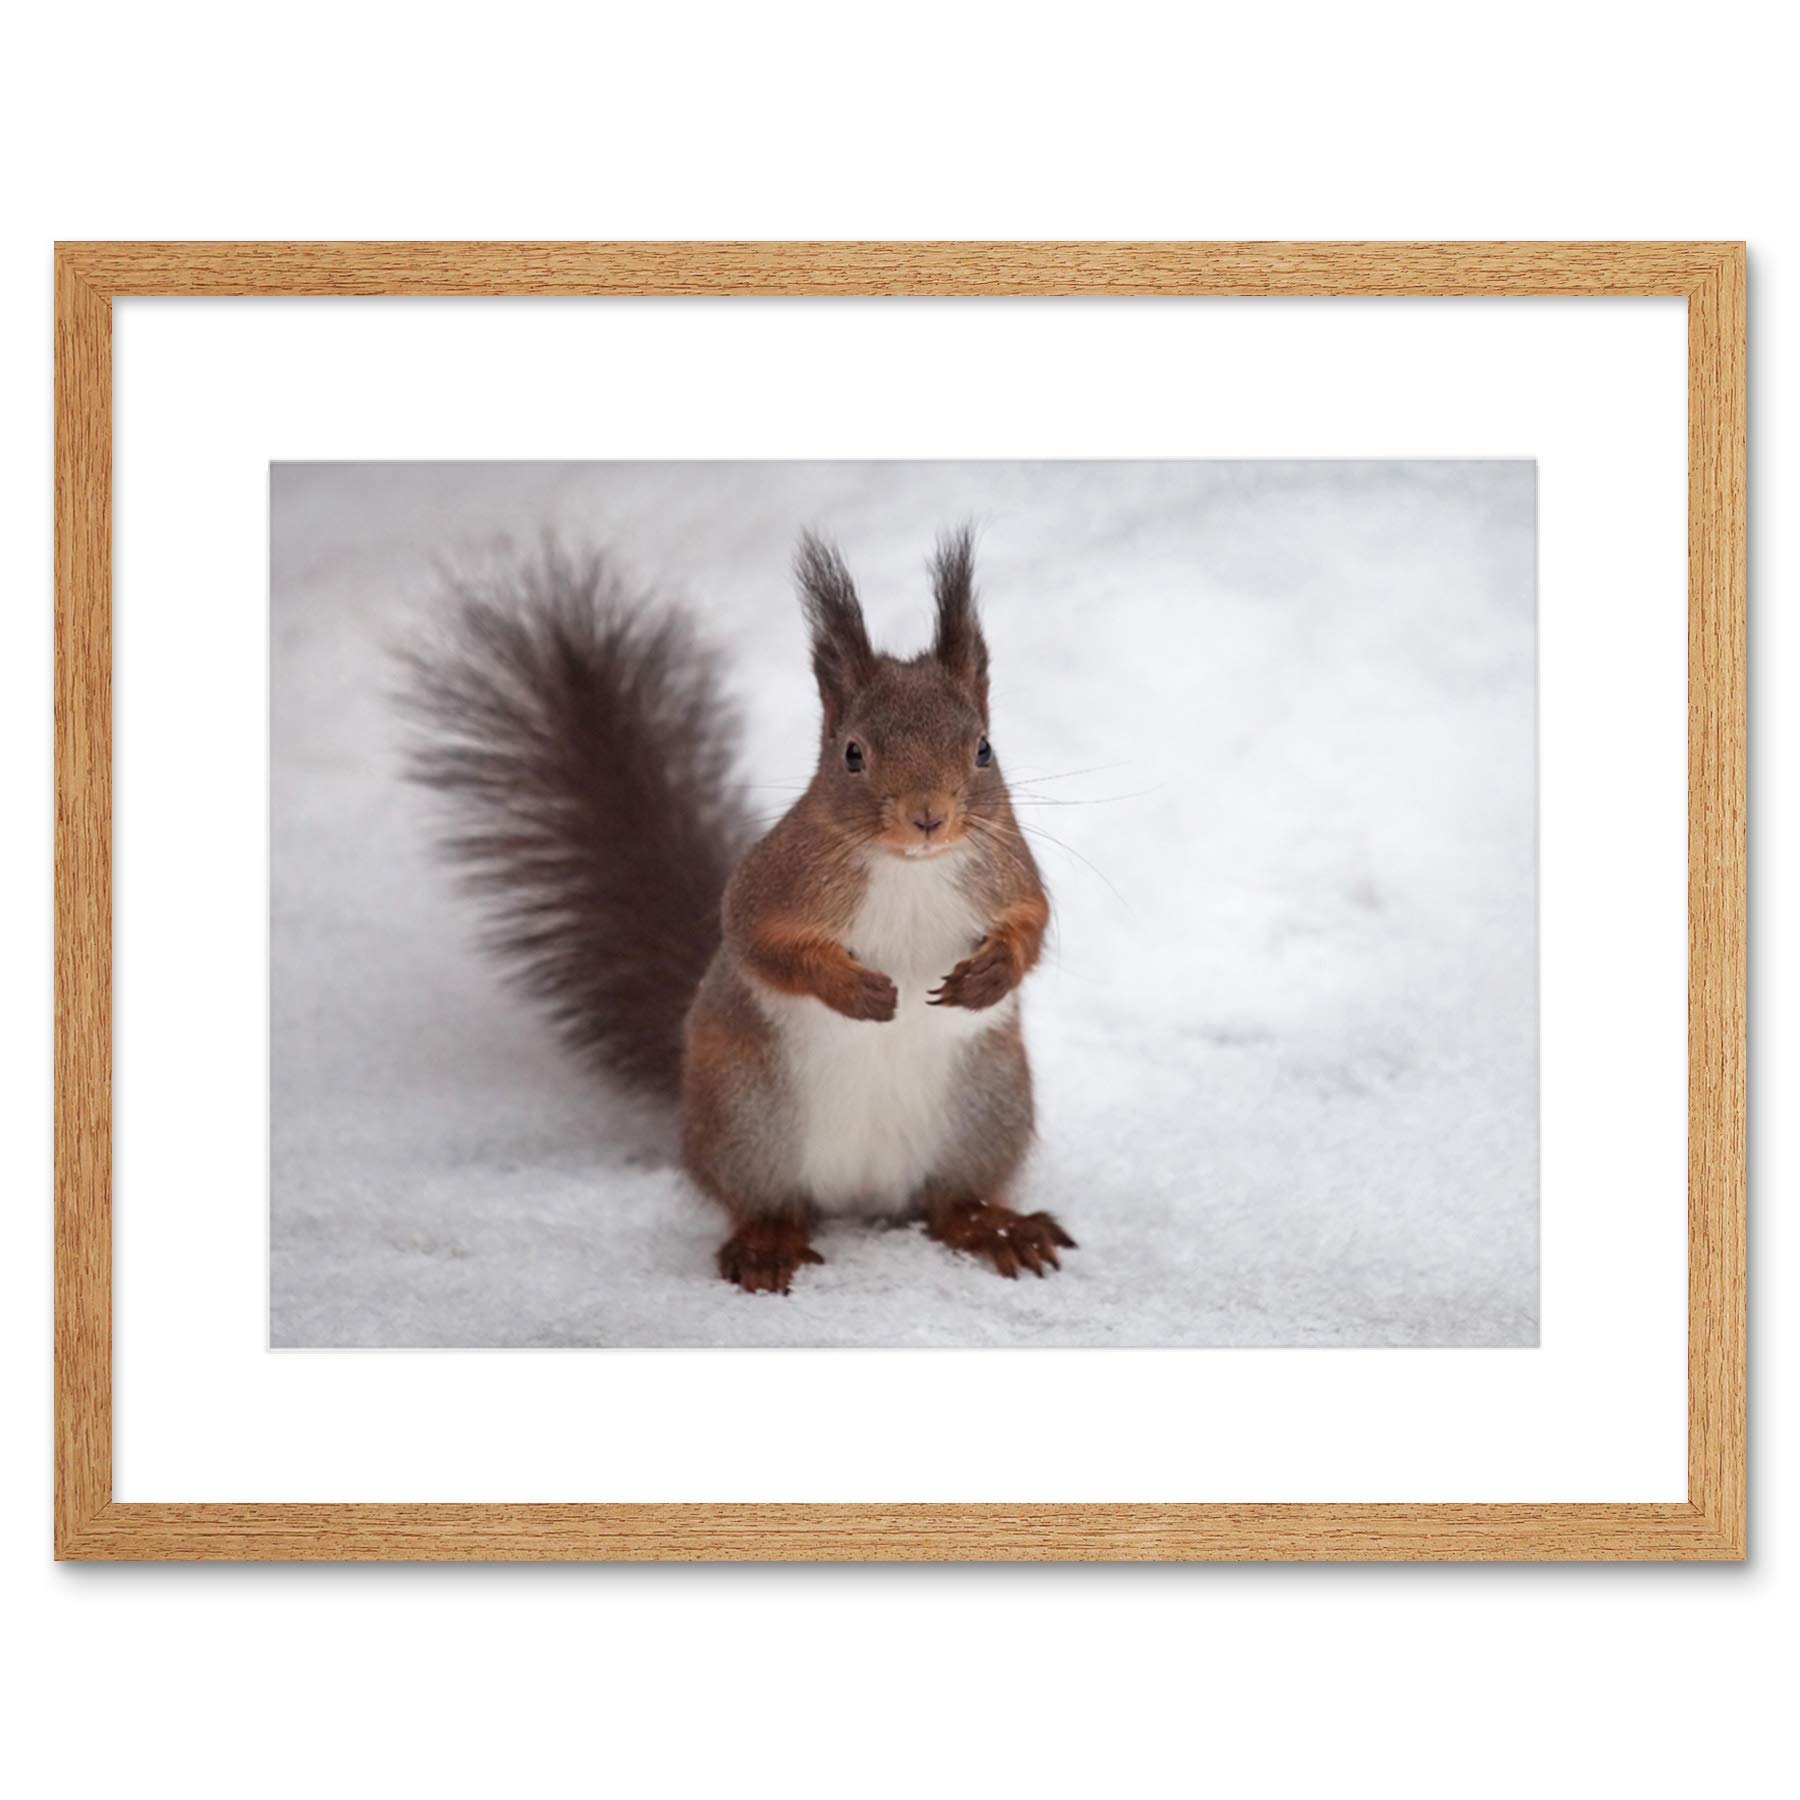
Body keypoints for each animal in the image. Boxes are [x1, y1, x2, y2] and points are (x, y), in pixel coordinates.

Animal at [401, 528, 1073, 1294]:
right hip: (746, 1120)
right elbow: (759, 943)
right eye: (852, 755)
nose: (928, 817)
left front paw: (990, 975)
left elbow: (1033, 925)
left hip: (985, 1111)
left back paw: (997, 1228)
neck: (912, 870)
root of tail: (863, 1193)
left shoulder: (1009, 874)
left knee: (950, 1203)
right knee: (765, 1201)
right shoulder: (771, 886)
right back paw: (767, 1244)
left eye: (984, 749)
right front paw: (855, 989)